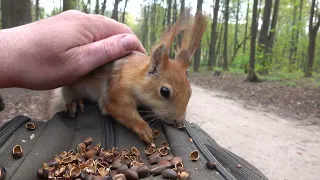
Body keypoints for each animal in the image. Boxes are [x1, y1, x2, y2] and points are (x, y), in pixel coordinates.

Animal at [46, 10, 209, 143]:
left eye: (190, 92)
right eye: (164, 92)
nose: (179, 122)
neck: (136, 76)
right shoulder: (117, 93)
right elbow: (122, 111)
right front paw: (144, 128)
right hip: (70, 87)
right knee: (69, 96)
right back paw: (74, 103)